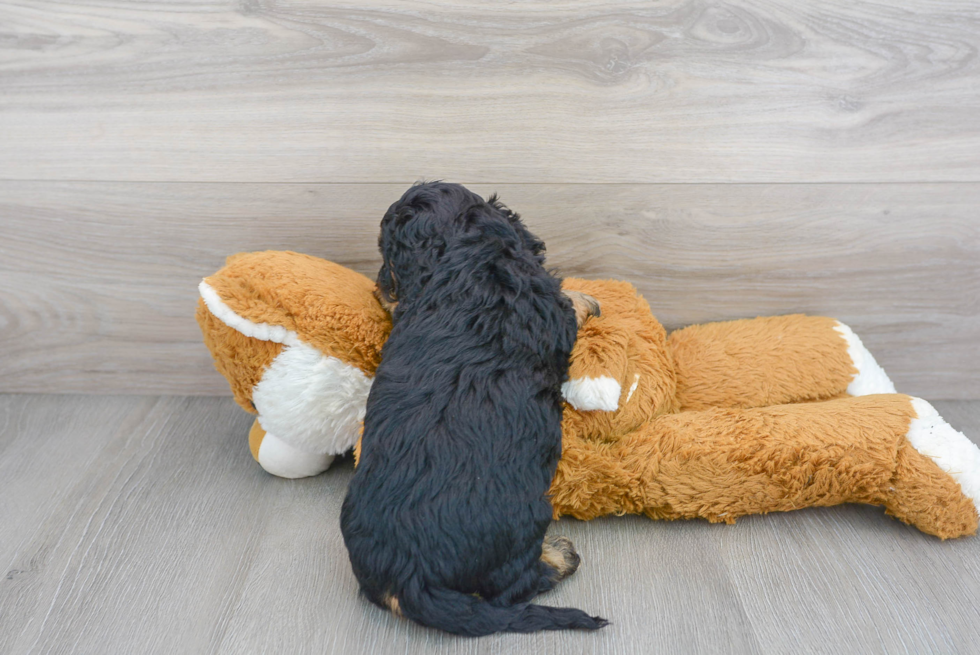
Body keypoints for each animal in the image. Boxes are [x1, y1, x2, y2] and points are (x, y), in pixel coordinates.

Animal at [340, 181, 608, 636]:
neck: (466, 254)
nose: (378, 288)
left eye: (386, 258)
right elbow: (568, 300)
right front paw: (587, 297)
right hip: (526, 520)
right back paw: (560, 556)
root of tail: (408, 578)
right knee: (514, 587)